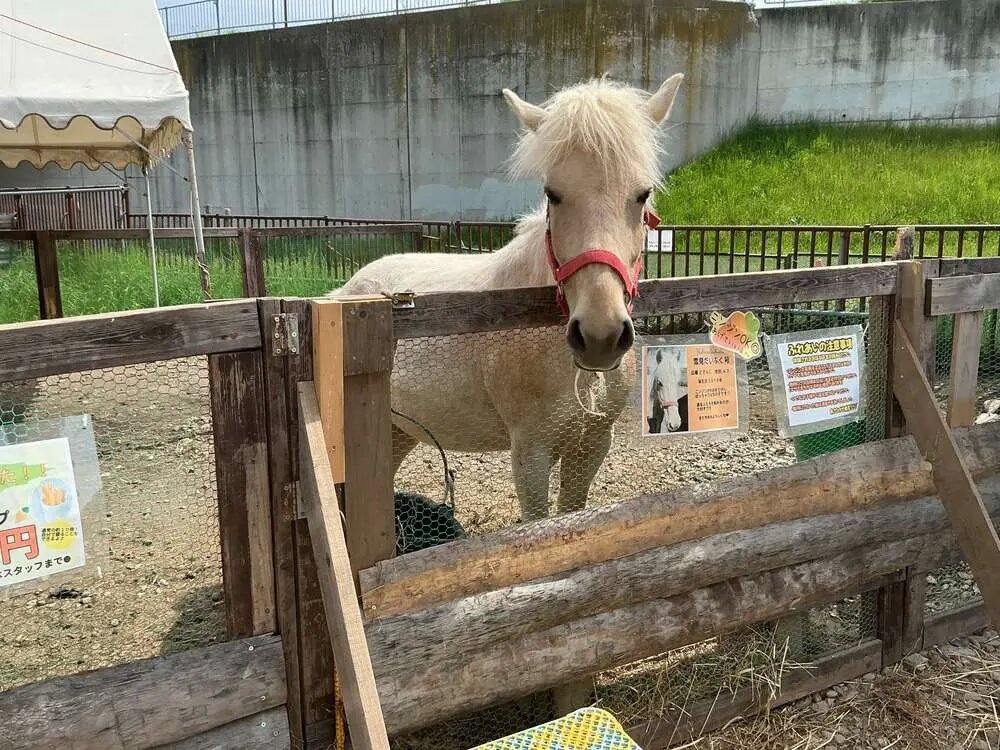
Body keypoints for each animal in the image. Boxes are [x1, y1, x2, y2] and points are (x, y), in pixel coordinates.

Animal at [330, 74, 684, 521]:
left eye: (641, 194)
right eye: (552, 193)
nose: (599, 336)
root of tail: (345, 293)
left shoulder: (590, 447)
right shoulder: (530, 454)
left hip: (397, 429)